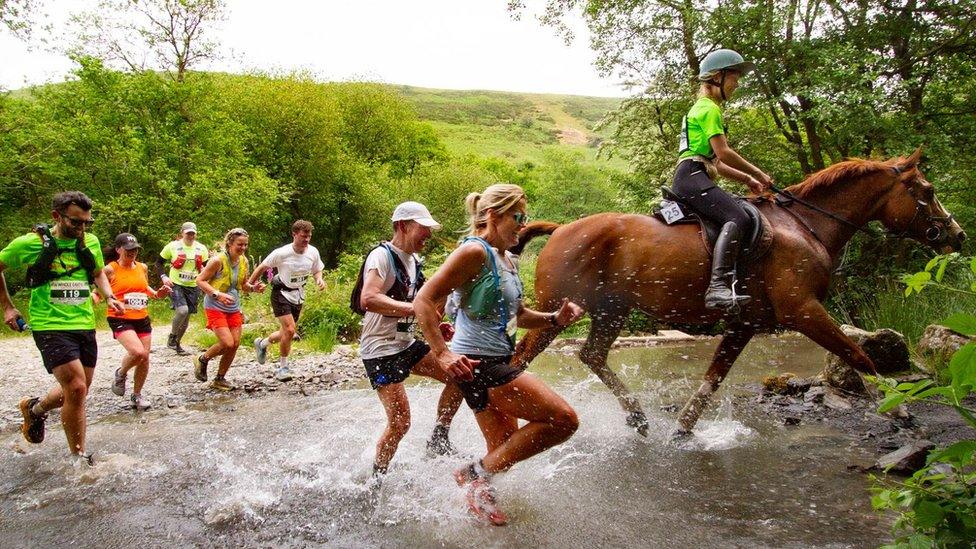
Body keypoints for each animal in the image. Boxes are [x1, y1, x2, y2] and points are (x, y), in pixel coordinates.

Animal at [510, 148, 968, 434]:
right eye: (928, 192)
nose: (958, 236)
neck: (805, 226)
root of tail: (561, 229)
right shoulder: (803, 310)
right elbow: (859, 356)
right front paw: (902, 409)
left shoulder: (745, 322)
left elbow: (713, 378)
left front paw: (683, 430)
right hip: (559, 311)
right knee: (518, 360)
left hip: (611, 309)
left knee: (592, 355)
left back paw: (638, 418)